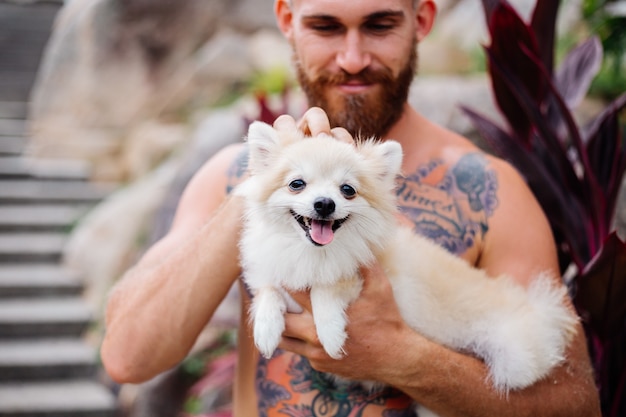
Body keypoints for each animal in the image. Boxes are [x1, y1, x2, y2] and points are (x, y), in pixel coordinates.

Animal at [235, 120, 576, 394]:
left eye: (347, 190)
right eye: (297, 184)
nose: (324, 203)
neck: (310, 252)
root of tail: (541, 311)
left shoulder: (361, 277)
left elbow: (327, 287)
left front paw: (330, 333)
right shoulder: (272, 268)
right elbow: (268, 290)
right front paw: (266, 329)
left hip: (512, 358)